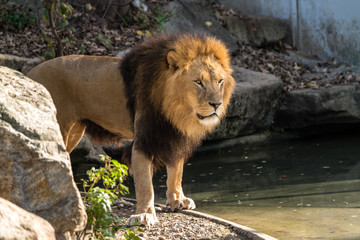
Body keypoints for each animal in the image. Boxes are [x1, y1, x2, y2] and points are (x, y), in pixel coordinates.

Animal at [28, 34, 236, 227]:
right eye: (198, 82)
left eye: (219, 81)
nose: (217, 104)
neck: (176, 109)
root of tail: (30, 74)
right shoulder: (144, 140)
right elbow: (145, 183)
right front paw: (144, 214)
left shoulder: (173, 136)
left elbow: (176, 171)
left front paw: (177, 200)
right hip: (58, 128)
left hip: (74, 132)